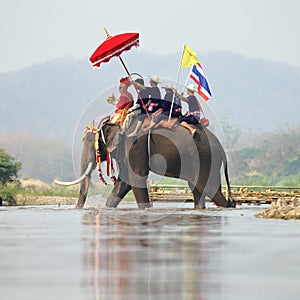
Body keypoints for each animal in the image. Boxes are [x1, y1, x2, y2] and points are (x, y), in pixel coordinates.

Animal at [55, 115, 236, 209]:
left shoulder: (134, 145)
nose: (77, 208)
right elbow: (124, 182)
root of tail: (221, 148)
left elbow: (136, 178)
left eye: (89, 141)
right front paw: (108, 208)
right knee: (198, 189)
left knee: (210, 189)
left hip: (205, 158)